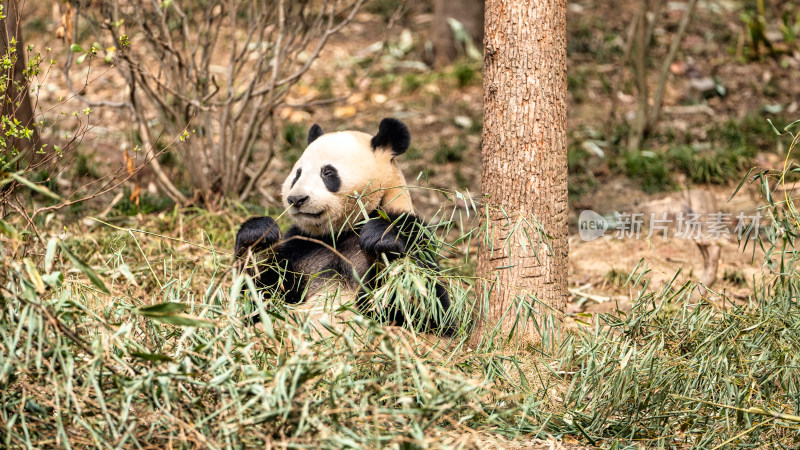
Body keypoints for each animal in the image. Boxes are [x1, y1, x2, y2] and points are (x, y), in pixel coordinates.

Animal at [234, 118, 454, 336]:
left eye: (327, 172)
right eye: (297, 174)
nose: (296, 199)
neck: (340, 233)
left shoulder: (412, 230)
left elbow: (430, 311)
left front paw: (381, 240)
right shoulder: (299, 248)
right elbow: (256, 297)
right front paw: (257, 236)